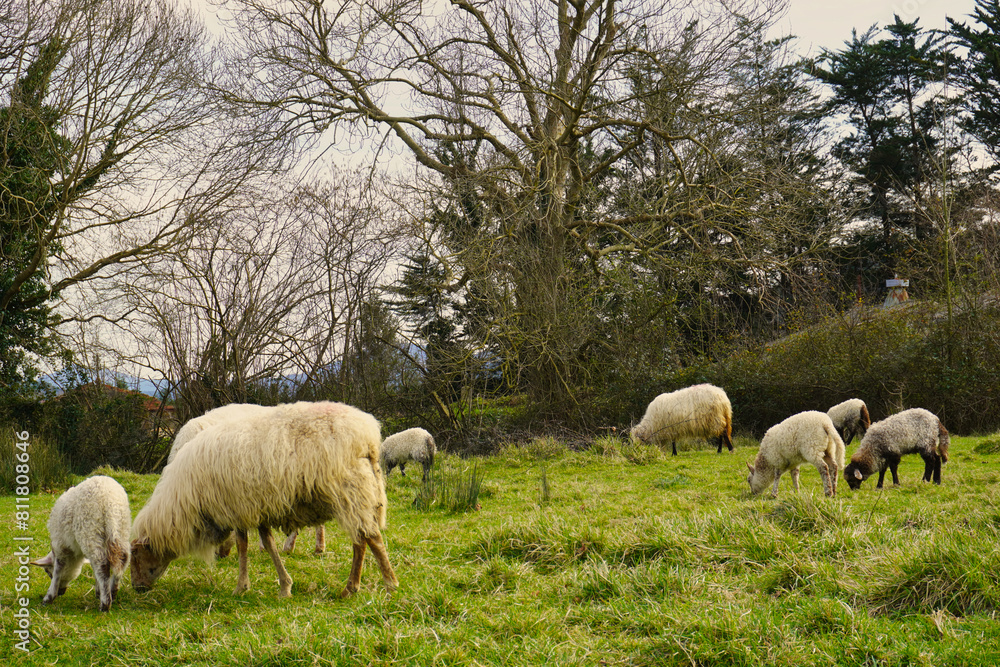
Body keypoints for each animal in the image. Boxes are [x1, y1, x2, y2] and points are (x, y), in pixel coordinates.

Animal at [29, 475, 131, 611]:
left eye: (47, 571)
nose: (61, 592)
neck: (75, 555)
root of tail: (110, 503)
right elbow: (93, 568)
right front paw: (98, 591)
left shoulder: (60, 545)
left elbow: (58, 569)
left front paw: (49, 597)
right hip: (121, 530)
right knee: (122, 560)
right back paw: (113, 592)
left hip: (90, 530)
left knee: (102, 566)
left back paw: (105, 604)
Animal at [130, 400, 398, 598]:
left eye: (136, 556)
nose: (137, 588)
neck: (188, 500)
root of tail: (368, 433)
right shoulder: (255, 507)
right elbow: (268, 543)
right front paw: (285, 586)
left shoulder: (237, 508)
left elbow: (243, 545)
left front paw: (241, 587)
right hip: (356, 494)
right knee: (361, 540)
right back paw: (352, 587)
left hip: (350, 490)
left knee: (371, 538)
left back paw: (388, 584)